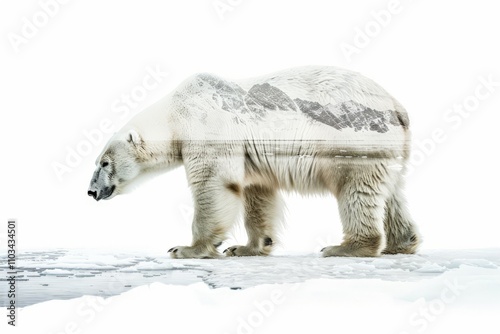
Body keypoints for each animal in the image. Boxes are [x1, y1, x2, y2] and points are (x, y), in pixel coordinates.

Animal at [88, 65, 420, 258]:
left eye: (103, 163)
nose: (91, 191)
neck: (174, 115)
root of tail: (397, 106)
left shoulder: (208, 128)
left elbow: (212, 183)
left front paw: (186, 248)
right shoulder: (251, 156)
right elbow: (257, 192)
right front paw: (246, 247)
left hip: (352, 140)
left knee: (356, 188)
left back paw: (344, 247)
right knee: (391, 192)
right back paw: (402, 242)